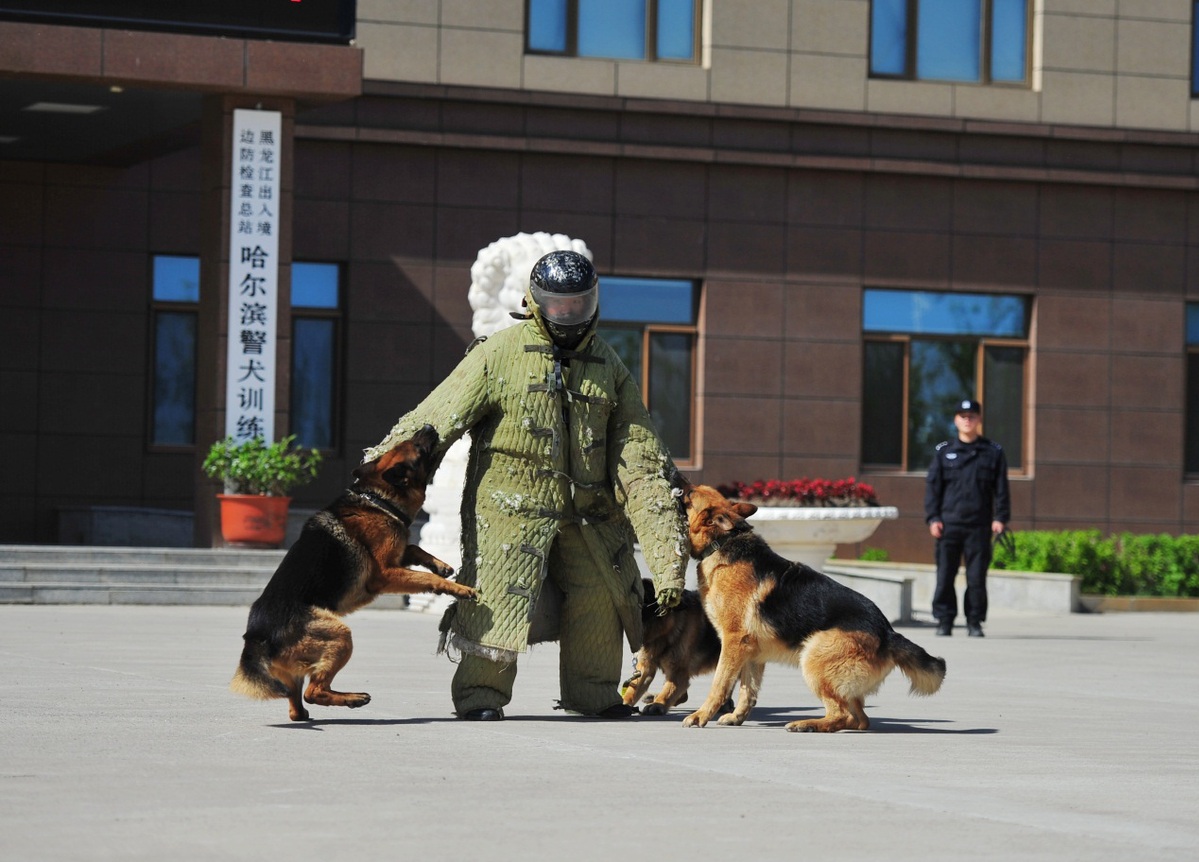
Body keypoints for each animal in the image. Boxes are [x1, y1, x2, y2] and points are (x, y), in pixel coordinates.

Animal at [229, 426, 477, 719]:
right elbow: (424, 576)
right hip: (340, 635)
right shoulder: (384, 575)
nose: (427, 427)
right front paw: (458, 588)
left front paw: (440, 564)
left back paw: (310, 711)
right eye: (417, 448)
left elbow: (414, 546)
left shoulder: (397, 554)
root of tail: (256, 637)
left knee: (296, 704)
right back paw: (353, 698)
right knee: (313, 691)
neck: (378, 499)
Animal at [623, 580, 733, 714]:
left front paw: (658, 704)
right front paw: (624, 703)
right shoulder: (646, 668)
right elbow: (633, 689)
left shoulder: (678, 672)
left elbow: (669, 690)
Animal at [676, 481, 944, 733]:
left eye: (691, 494)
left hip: (813, 657)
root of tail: (888, 632)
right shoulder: (751, 651)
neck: (722, 542)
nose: (679, 481)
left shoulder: (734, 642)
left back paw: (806, 724)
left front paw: (701, 715)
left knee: (841, 714)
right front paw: (736, 717)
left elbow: (720, 683)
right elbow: (747, 690)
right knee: (859, 719)